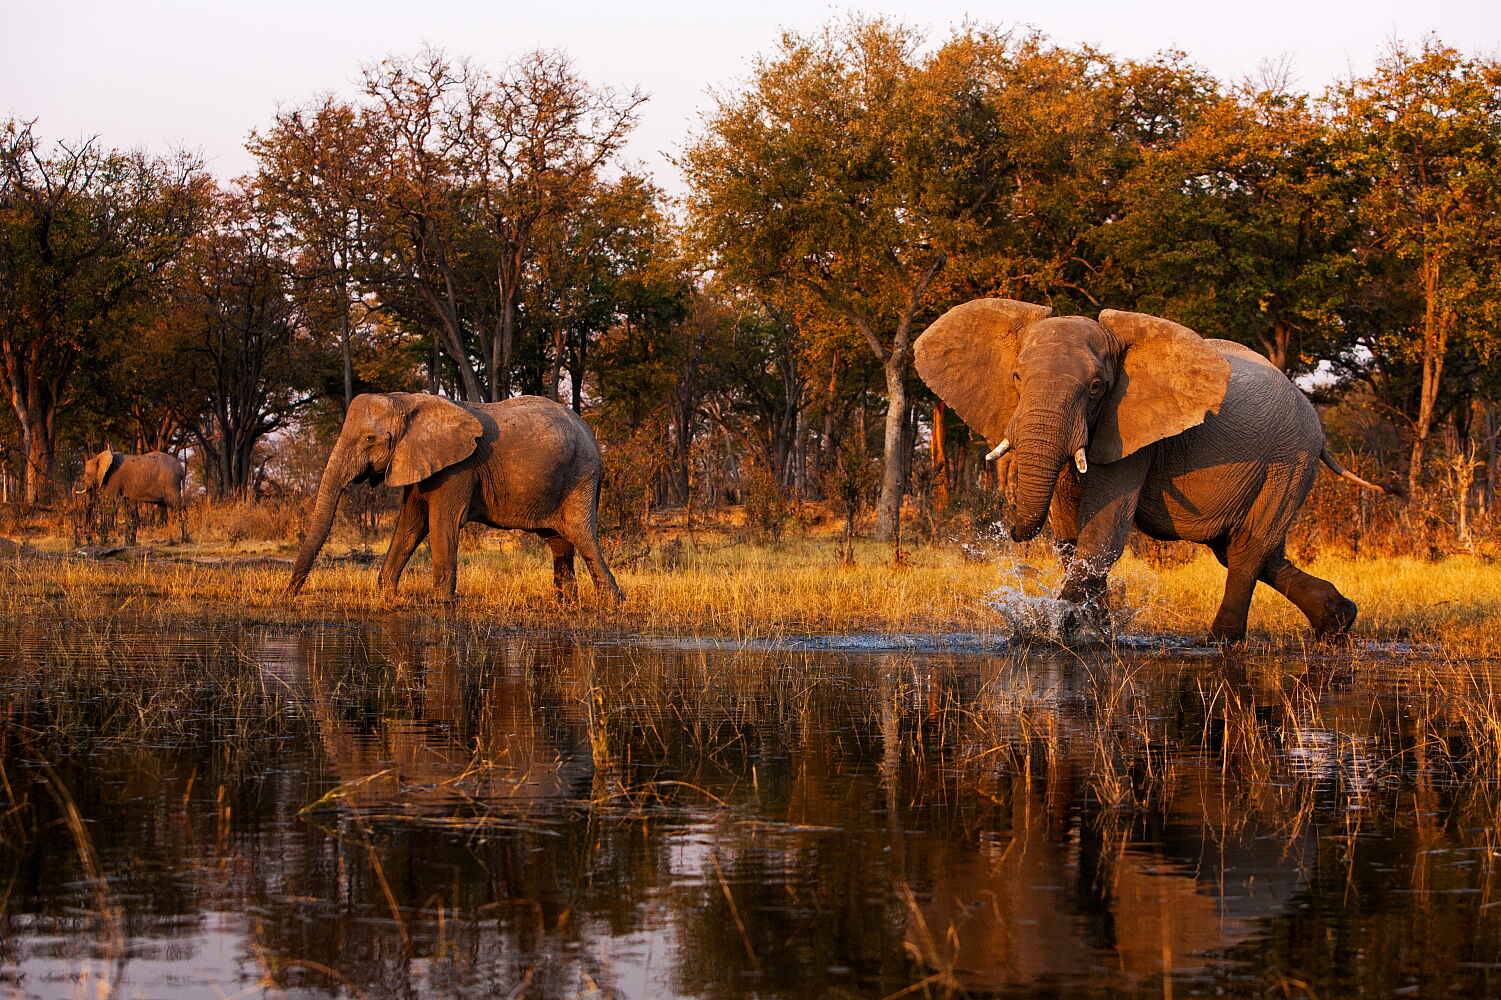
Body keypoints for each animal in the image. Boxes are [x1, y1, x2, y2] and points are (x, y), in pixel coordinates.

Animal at [287, 392, 622, 604]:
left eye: (370, 439)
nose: (289, 593)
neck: (406, 401)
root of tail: (591, 435)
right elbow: (410, 523)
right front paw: (386, 595)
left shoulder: (459, 468)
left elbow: (441, 522)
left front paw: (442, 601)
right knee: (558, 541)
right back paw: (566, 603)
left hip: (582, 476)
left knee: (582, 535)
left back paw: (612, 602)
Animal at [914, 298, 1396, 641]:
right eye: (1016, 378)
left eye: (1097, 388)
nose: (1010, 532)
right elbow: (1070, 536)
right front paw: (1091, 629)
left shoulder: (1130, 431)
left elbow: (1100, 536)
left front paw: (1057, 631)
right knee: (1251, 550)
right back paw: (1339, 621)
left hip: (1290, 460)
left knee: (1246, 548)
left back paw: (1220, 641)